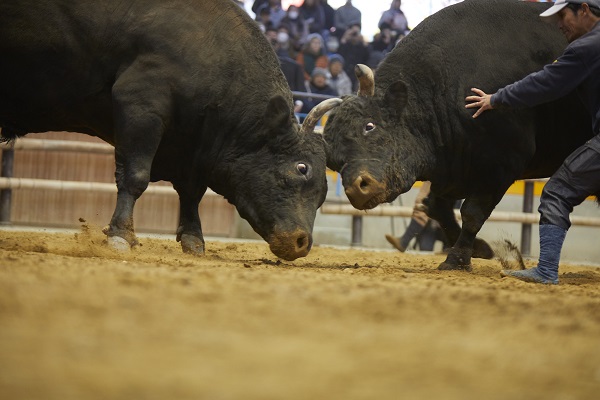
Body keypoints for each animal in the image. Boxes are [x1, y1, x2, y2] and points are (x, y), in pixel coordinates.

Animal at [0, 0, 342, 260]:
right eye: (302, 168)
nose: (302, 243)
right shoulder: (140, 107)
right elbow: (135, 177)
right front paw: (121, 235)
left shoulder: (192, 145)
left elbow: (192, 192)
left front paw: (194, 239)